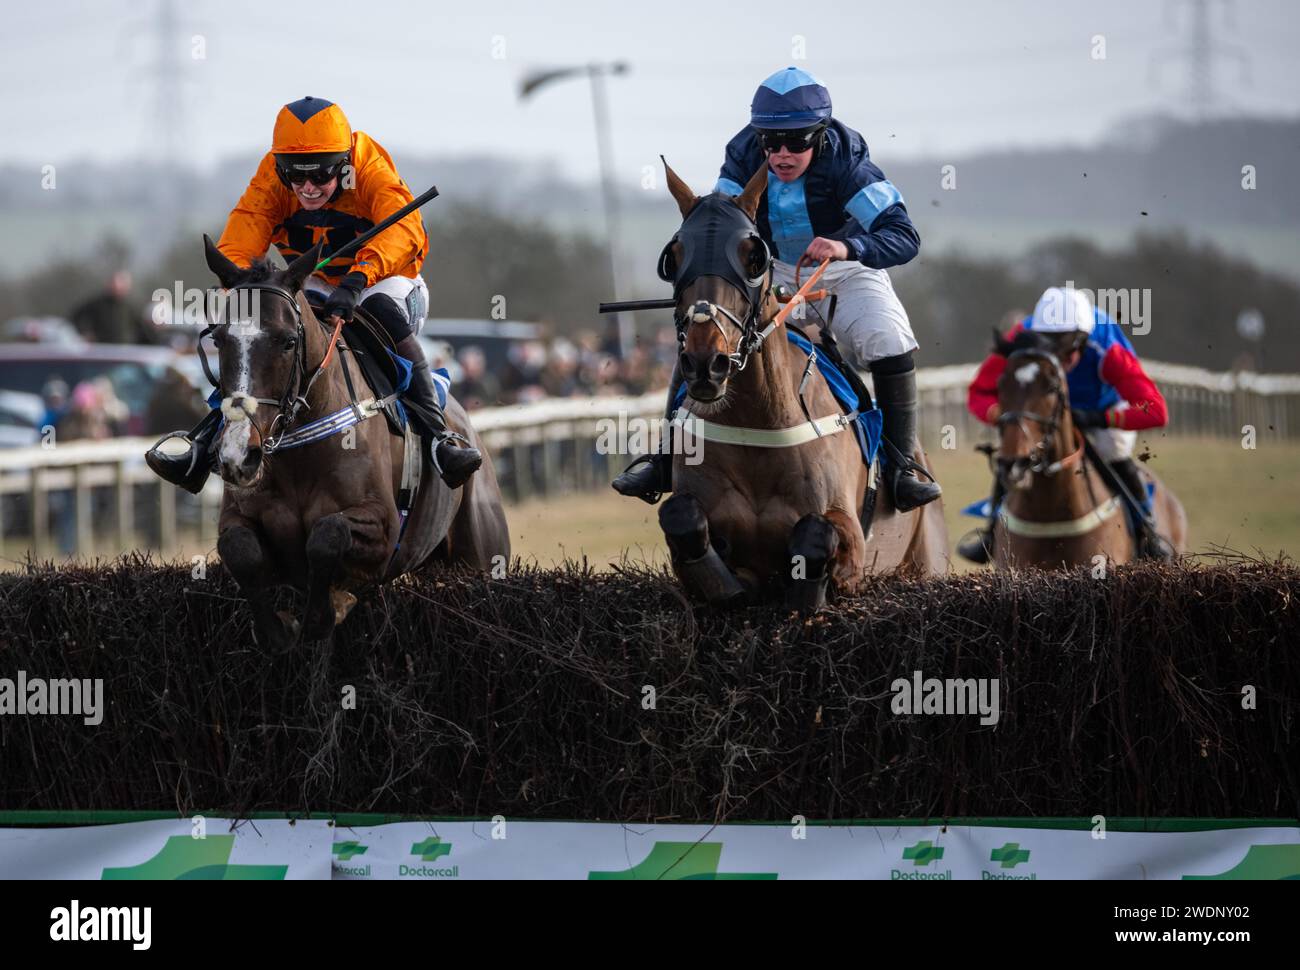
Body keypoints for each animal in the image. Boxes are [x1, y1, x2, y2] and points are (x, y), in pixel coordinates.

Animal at [201, 240, 506, 650]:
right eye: (219, 340)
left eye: (288, 341)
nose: (238, 456)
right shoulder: (240, 516)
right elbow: (239, 549)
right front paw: (276, 631)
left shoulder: (384, 529)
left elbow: (327, 534)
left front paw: (324, 615)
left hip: (482, 551)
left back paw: (453, 452)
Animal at [660, 164, 946, 603]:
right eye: (674, 258)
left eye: (753, 257)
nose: (707, 363)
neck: (757, 424)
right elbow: (680, 517)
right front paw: (729, 587)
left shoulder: (852, 542)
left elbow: (816, 534)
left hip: (925, 557)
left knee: (889, 348)